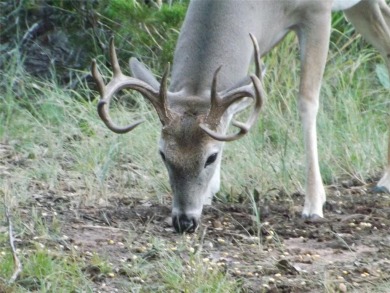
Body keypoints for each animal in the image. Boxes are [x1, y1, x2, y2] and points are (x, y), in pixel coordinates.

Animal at [92, 0, 390, 233]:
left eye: (210, 157)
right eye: (163, 154)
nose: (184, 222)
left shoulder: (317, 11)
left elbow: (307, 101)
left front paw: (314, 204)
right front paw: (211, 192)